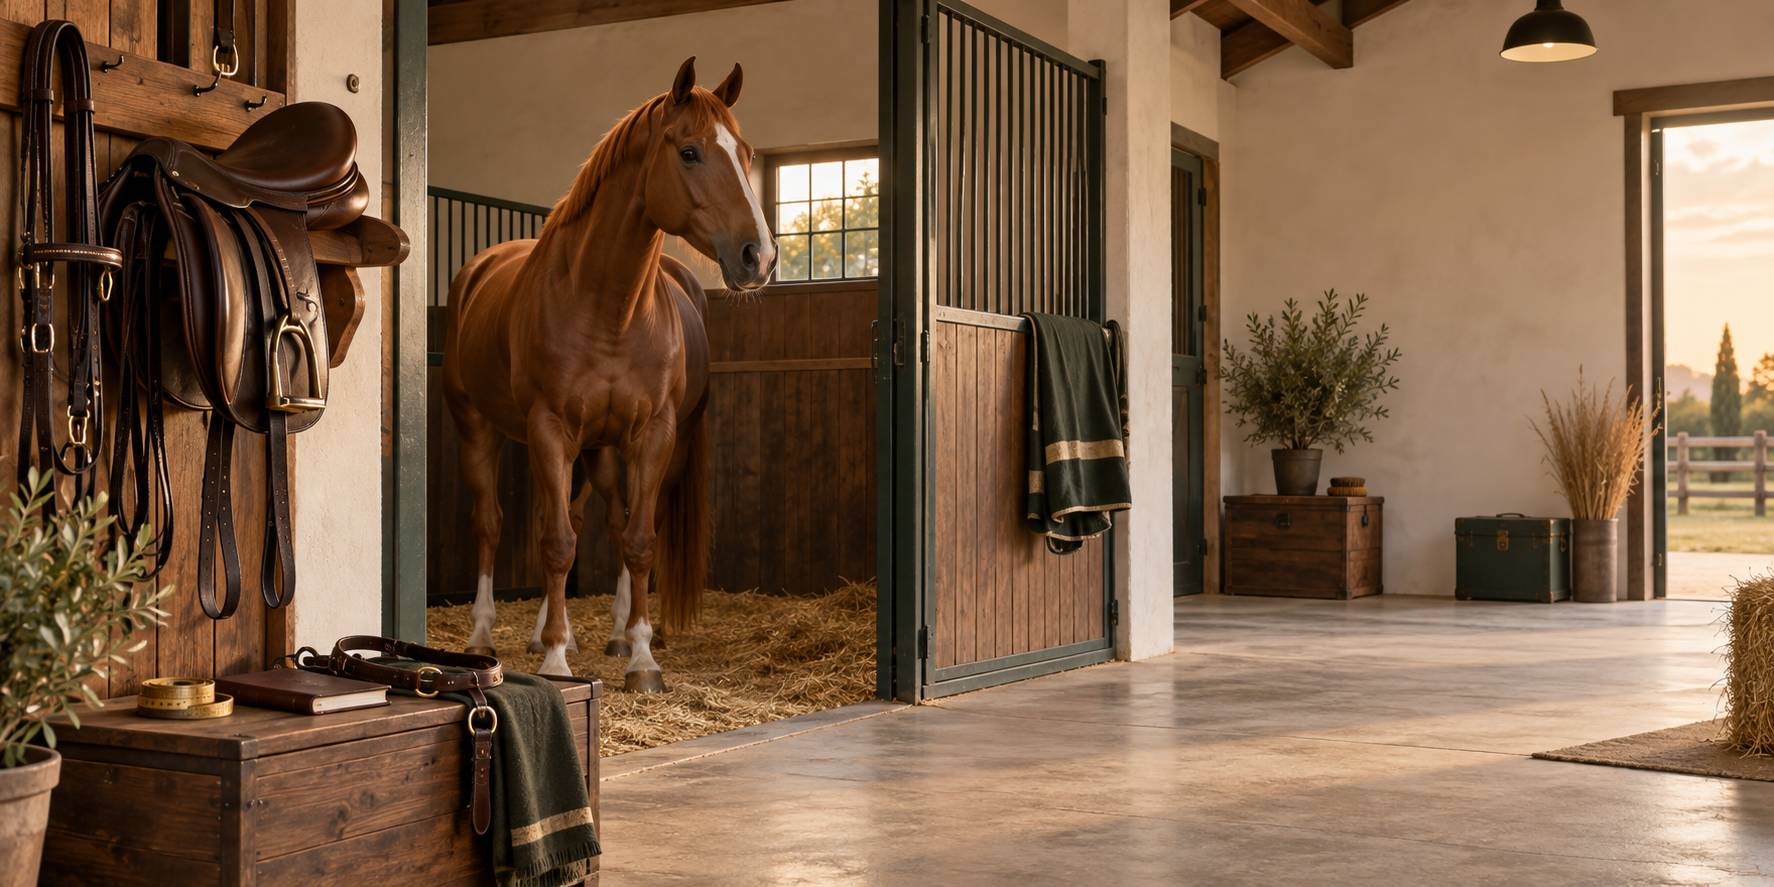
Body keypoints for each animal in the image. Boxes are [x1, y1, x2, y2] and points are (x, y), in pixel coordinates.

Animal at [441, 57, 776, 690]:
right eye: (690, 152)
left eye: (745, 153)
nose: (760, 256)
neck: (608, 308)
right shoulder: (549, 430)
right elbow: (555, 543)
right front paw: (554, 659)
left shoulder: (651, 434)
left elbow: (637, 540)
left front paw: (641, 656)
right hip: (480, 429)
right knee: (491, 524)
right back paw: (486, 635)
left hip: (600, 450)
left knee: (597, 519)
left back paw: (599, 634)